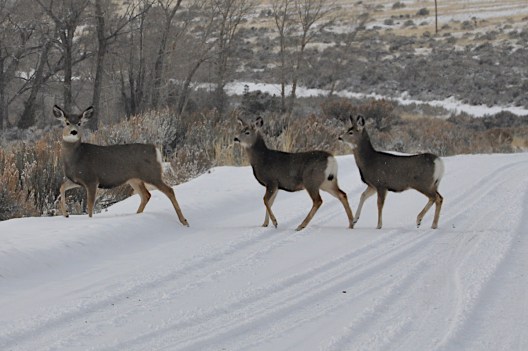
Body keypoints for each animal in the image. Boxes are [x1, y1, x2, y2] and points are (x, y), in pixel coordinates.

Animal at [53, 104, 189, 227]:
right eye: (67, 122)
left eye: (80, 123)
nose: (73, 132)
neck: (76, 156)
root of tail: (155, 150)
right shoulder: (77, 180)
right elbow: (62, 187)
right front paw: (66, 214)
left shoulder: (92, 179)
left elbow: (90, 205)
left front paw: (89, 220)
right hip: (134, 179)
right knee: (146, 195)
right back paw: (137, 215)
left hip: (151, 174)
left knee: (169, 190)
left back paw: (184, 221)